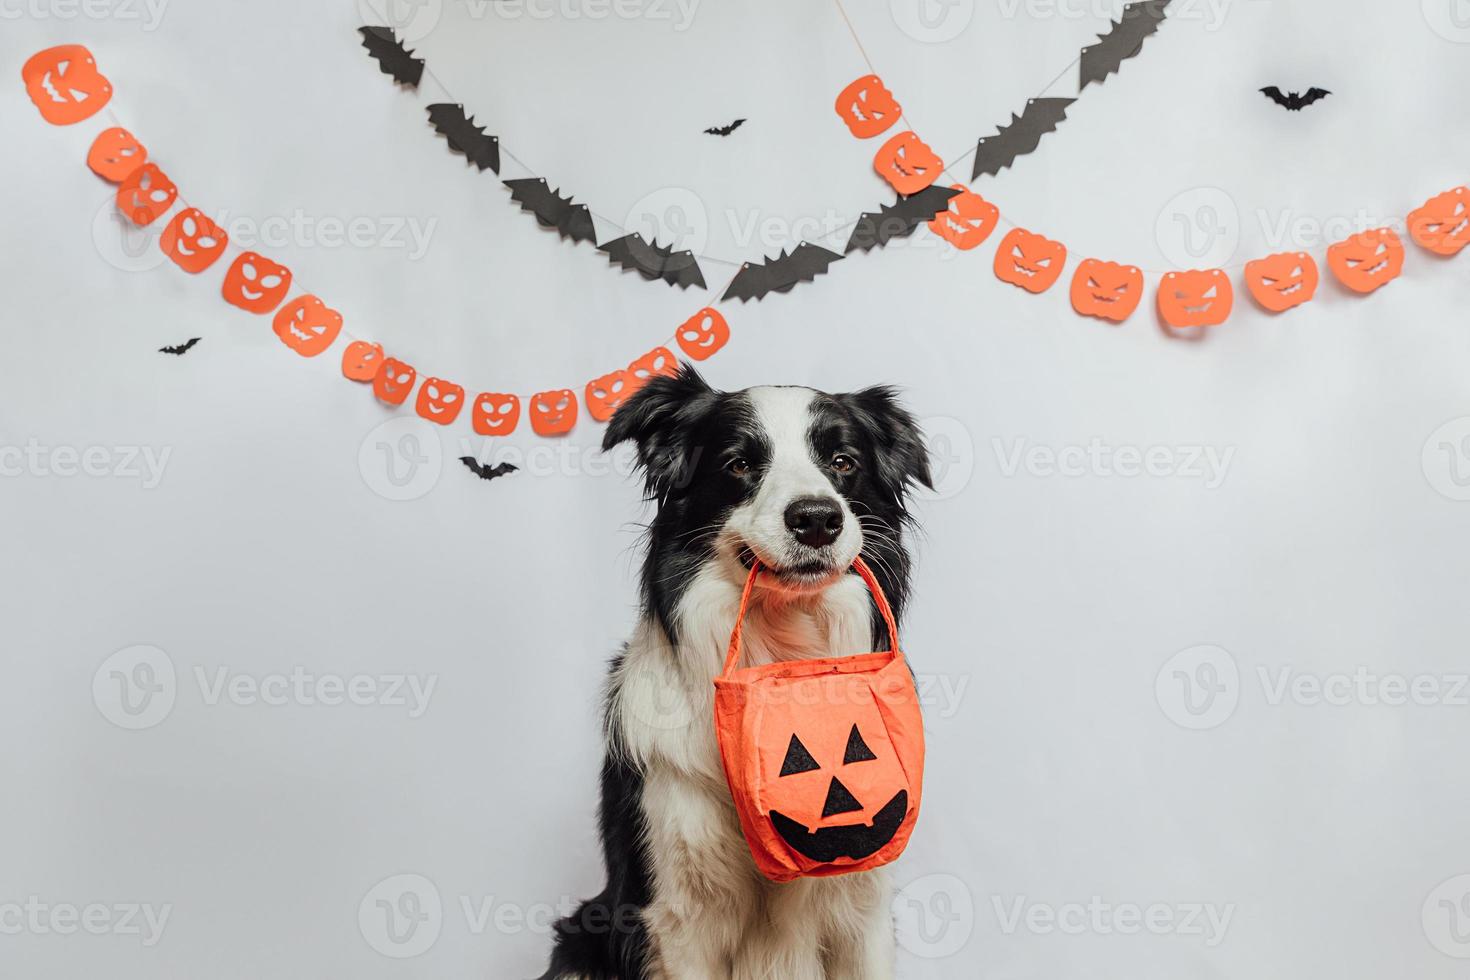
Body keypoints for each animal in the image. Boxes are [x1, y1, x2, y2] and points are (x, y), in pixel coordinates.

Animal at [540, 365, 929, 980]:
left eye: (843, 461)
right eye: (739, 463)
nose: (817, 519)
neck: (783, 647)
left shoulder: (864, 909)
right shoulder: (678, 915)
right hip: (582, 939)